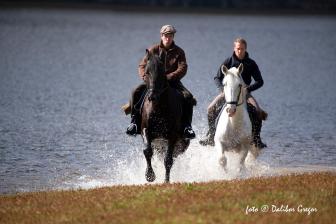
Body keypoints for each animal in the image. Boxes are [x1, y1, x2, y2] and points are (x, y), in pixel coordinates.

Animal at [140, 50, 190, 183]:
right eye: (147, 72)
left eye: (162, 72)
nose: (152, 97)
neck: (158, 108)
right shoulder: (146, 130)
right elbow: (147, 151)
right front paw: (150, 175)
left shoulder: (173, 135)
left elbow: (168, 160)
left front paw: (166, 181)